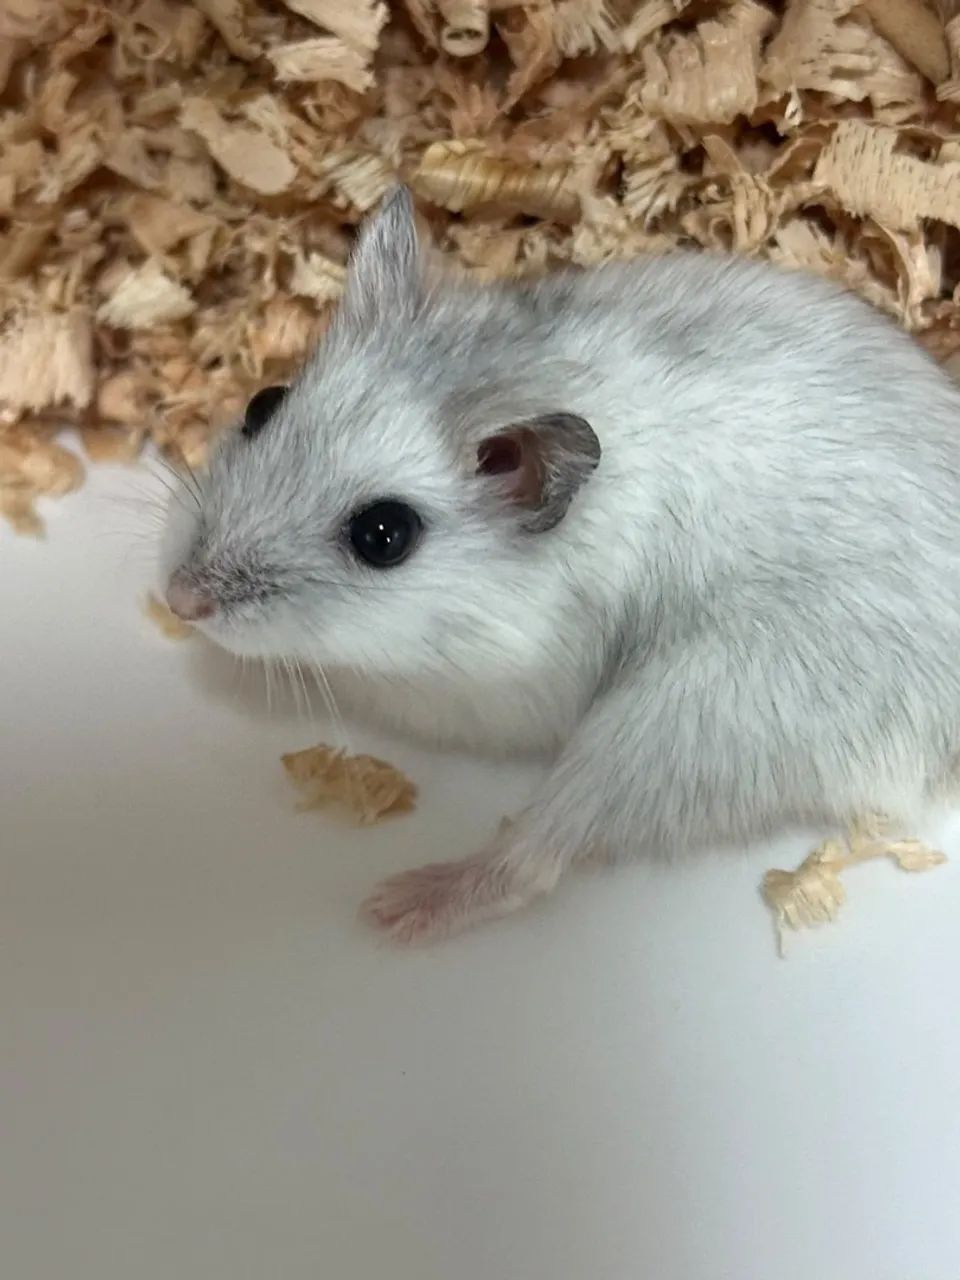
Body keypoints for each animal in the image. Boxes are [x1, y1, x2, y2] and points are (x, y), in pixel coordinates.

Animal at [161, 186, 960, 944]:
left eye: (384, 536)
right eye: (263, 404)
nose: (178, 599)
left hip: (687, 717)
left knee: (535, 859)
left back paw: (399, 907)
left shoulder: (501, 695)